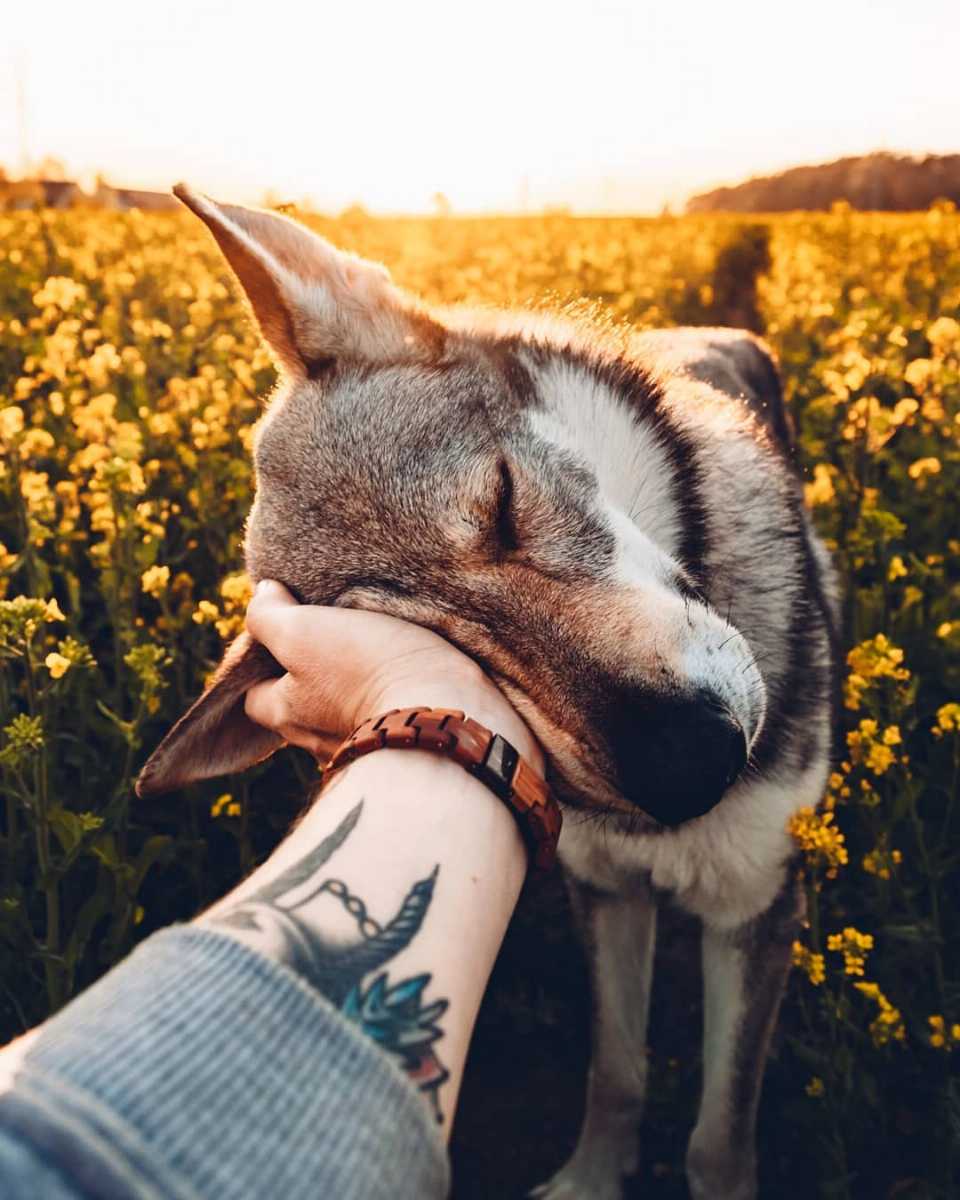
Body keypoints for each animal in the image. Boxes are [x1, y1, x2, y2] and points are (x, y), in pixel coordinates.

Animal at [138, 189, 835, 1200]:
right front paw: (591, 1181)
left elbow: (715, 1141)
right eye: (442, 648)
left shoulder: (754, 904)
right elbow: (616, 1075)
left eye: (503, 505)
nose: (692, 767)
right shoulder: (607, 891)